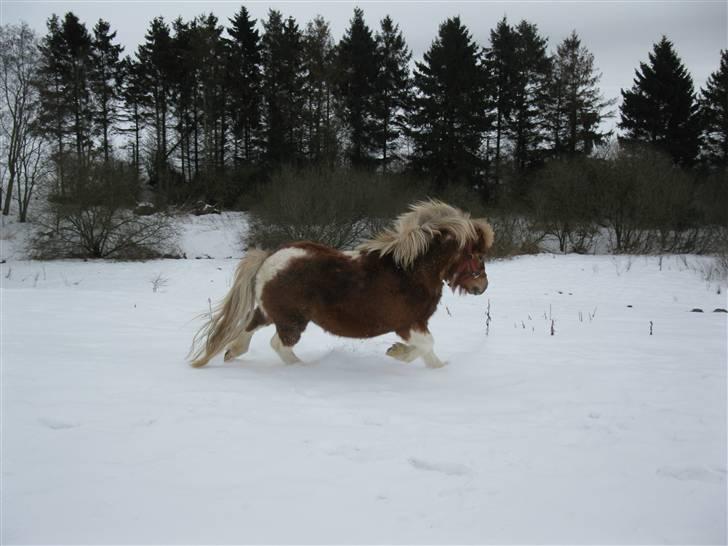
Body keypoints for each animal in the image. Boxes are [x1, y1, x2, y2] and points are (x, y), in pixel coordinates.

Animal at [188, 201, 494, 370]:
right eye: (477, 255)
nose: (483, 286)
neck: (411, 272)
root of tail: (270, 258)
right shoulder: (408, 323)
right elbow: (427, 344)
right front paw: (399, 354)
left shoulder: (414, 323)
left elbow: (429, 351)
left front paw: (434, 368)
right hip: (292, 320)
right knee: (279, 344)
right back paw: (303, 368)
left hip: (270, 311)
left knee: (249, 327)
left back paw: (232, 352)